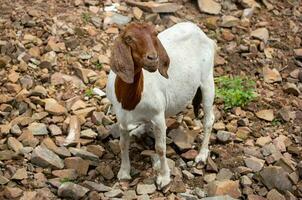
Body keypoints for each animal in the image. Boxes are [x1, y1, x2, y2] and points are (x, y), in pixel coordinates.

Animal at [105, 22, 216, 189]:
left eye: (154, 35)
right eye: (129, 38)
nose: (153, 59)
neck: (130, 101)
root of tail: (199, 31)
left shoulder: (158, 116)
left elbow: (160, 148)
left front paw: (164, 178)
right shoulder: (122, 117)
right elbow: (123, 144)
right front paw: (124, 173)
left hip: (207, 79)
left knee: (209, 120)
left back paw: (201, 156)